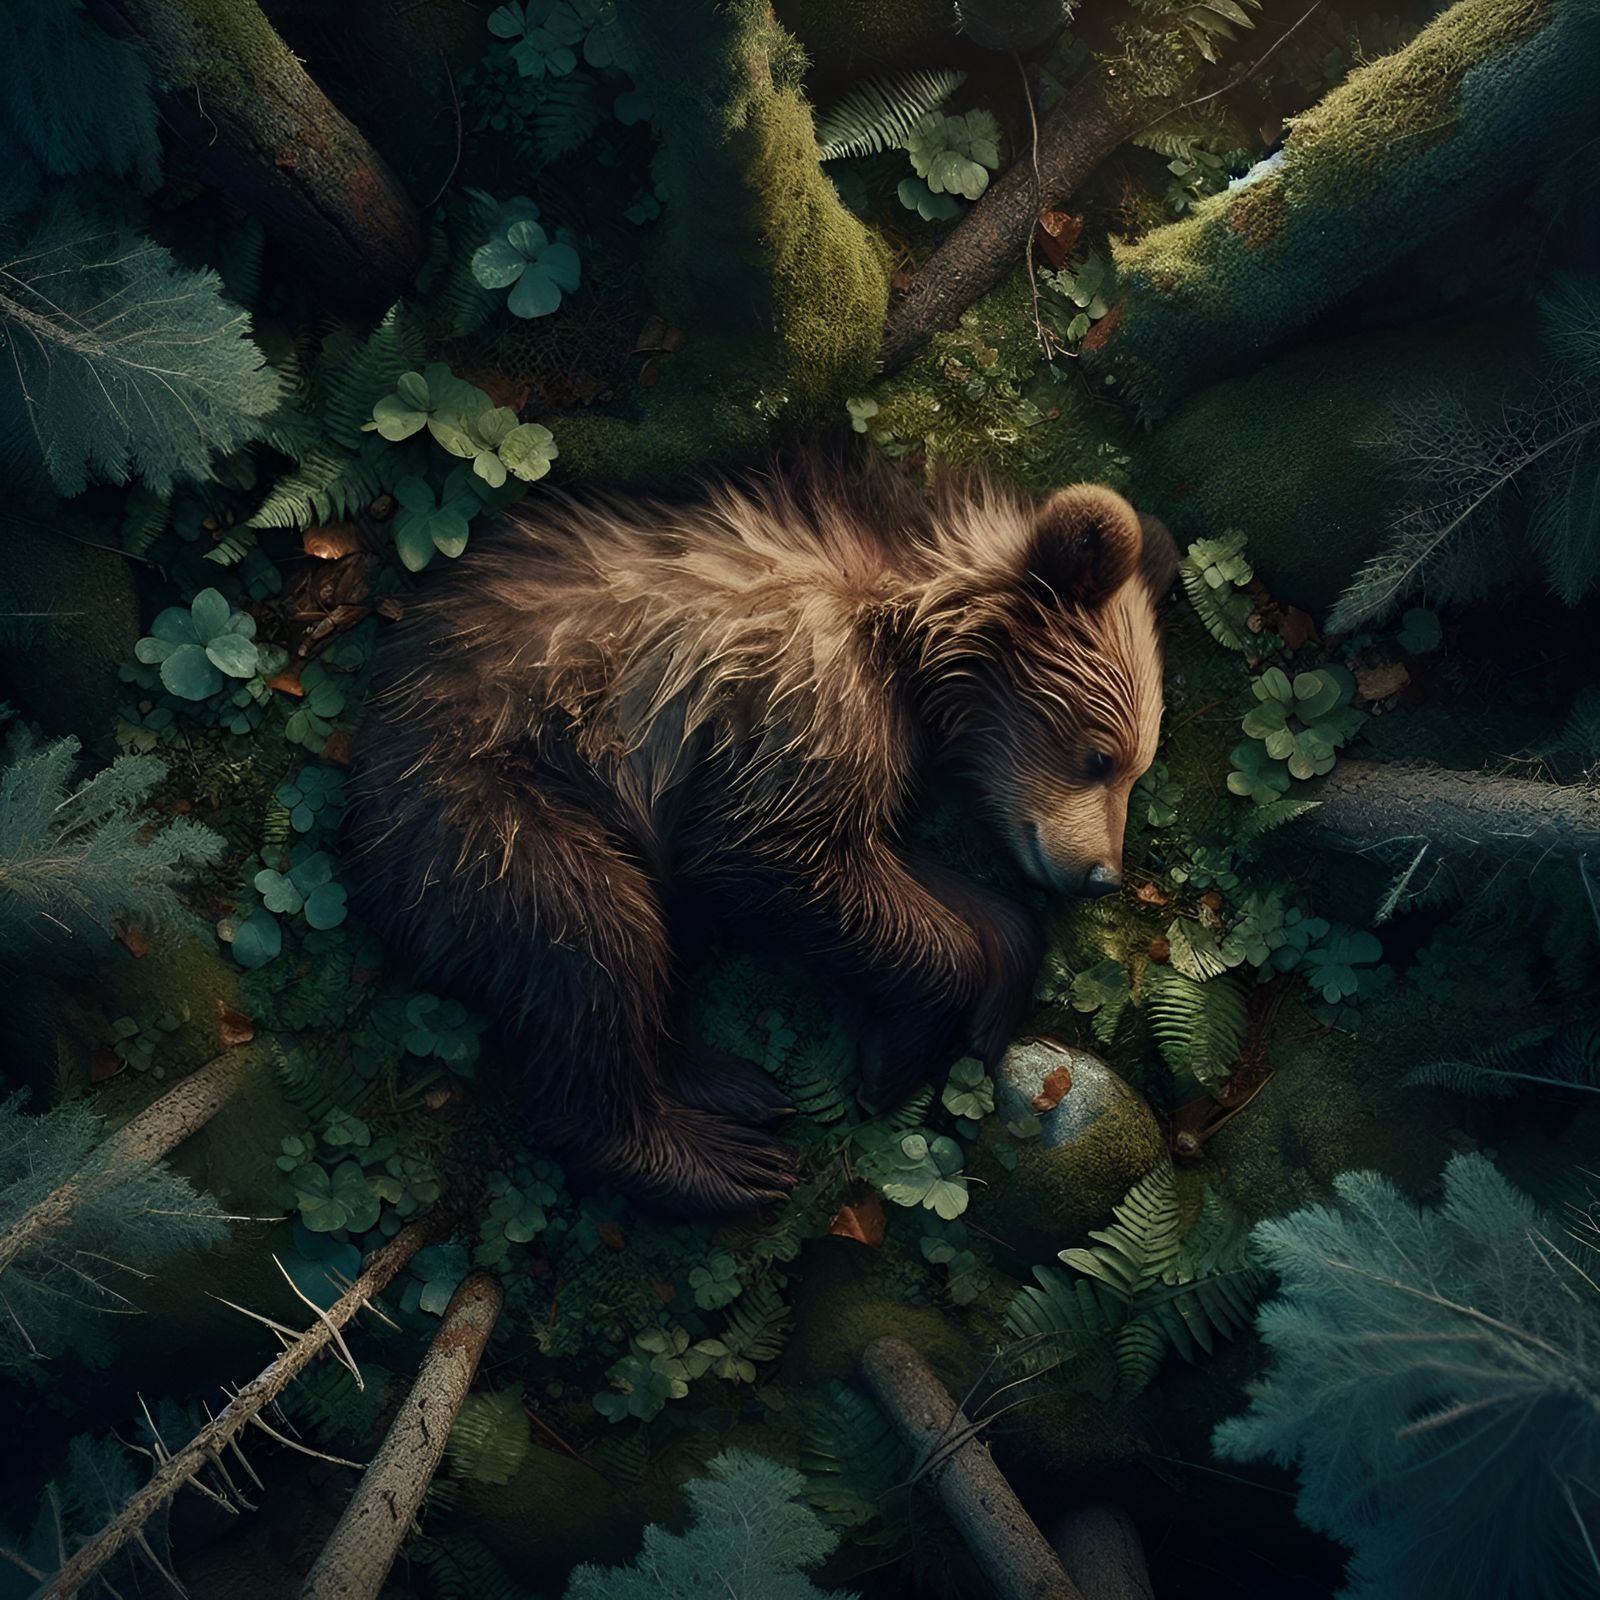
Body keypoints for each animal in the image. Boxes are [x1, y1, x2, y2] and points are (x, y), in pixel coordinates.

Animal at [346, 458, 1176, 1214]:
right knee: (595, 942)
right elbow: (770, 861)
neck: (903, 631)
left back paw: (728, 1083)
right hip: (492, 809)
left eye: (1139, 767)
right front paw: (897, 1052)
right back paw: (719, 1161)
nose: (1102, 874)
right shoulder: (795, 699)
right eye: (1101, 756)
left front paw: (989, 993)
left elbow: (889, 866)